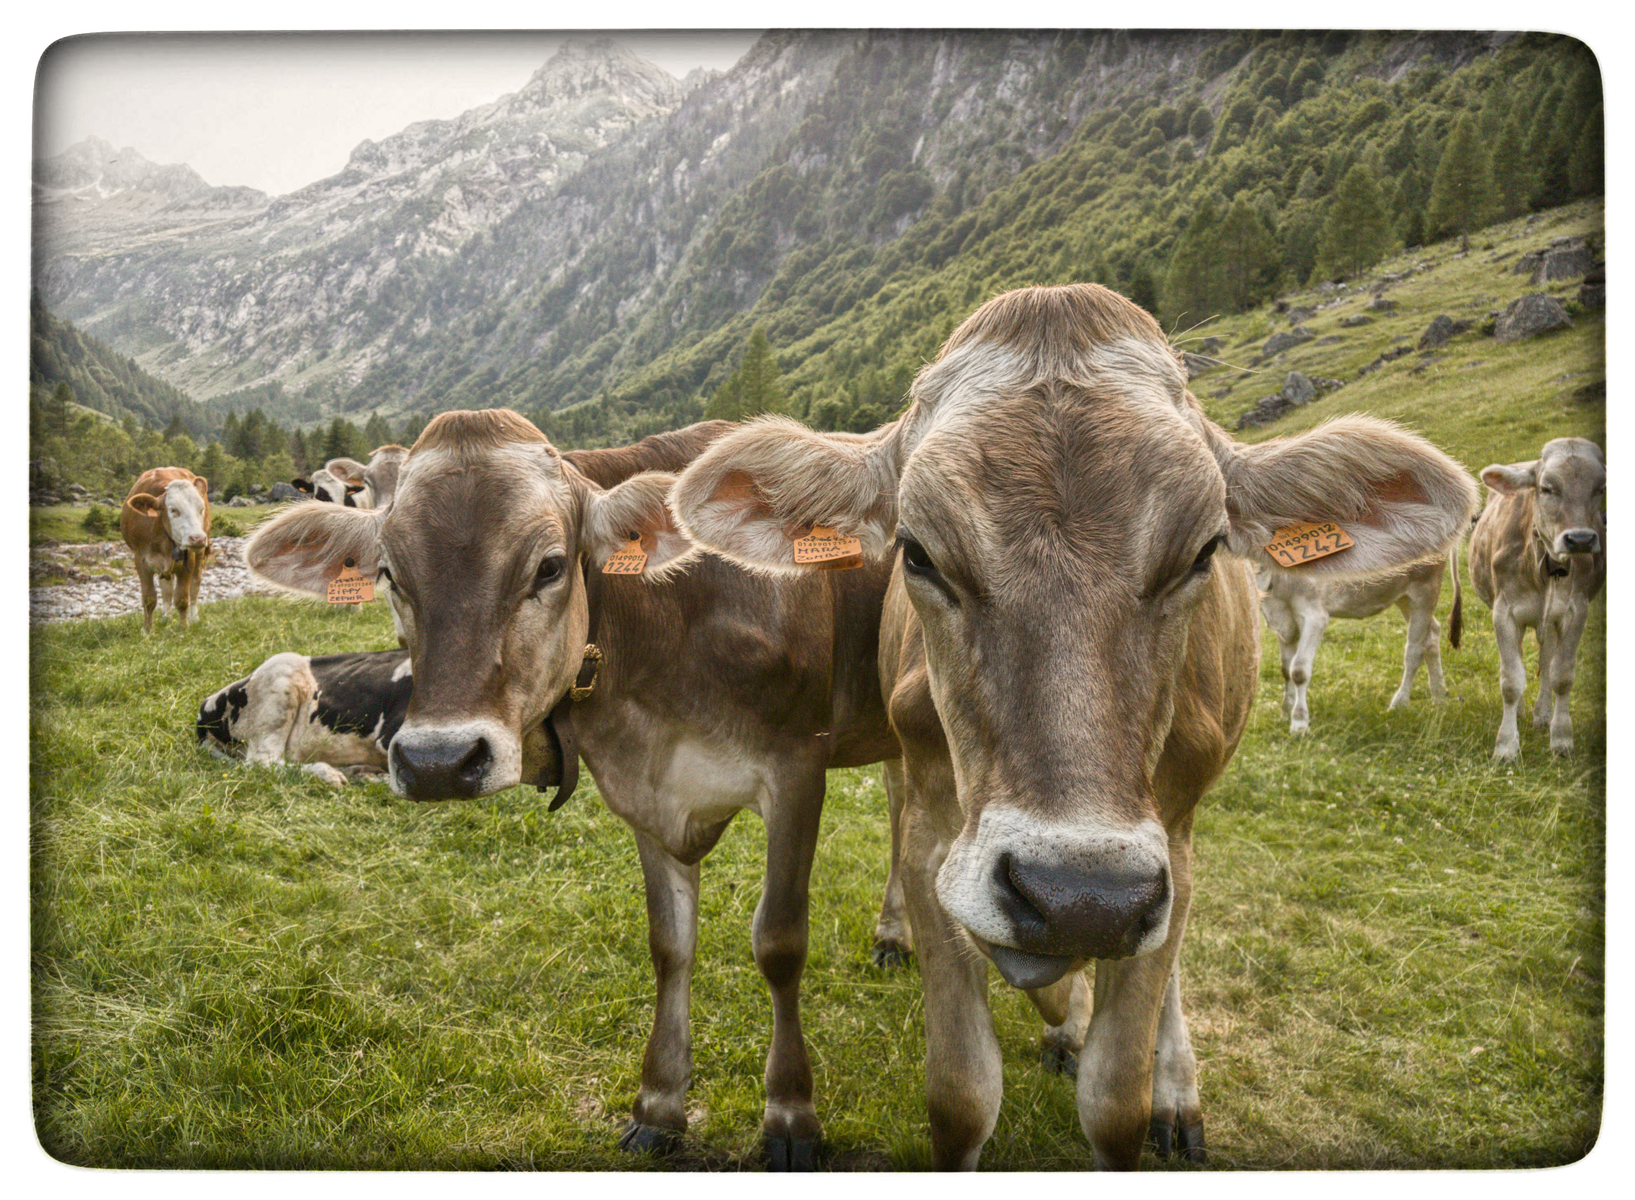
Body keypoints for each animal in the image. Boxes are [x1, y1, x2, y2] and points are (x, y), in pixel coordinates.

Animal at [119, 466, 213, 634]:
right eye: (173, 510)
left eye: (201, 509)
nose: (197, 538)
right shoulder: (141, 561)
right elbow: (149, 598)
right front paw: (147, 630)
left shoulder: (188, 560)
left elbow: (182, 598)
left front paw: (183, 628)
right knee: (166, 588)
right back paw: (166, 617)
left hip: (199, 554)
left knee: (195, 585)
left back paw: (193, 617)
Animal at [243, 414, 909, 1170]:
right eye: (389, 573)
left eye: (549, 567)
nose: (439, 762)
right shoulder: (640, 787)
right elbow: (668, 944)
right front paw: (658, 1106)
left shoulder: (797, 771)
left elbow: (779, 943)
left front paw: (791, 1116)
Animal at [1256, 548, 1461, 735]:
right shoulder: (1282, 619)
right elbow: (1286, 670)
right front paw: (1285, 712)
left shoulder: (1314, 615)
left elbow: (1298, 671)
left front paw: (1299, 723)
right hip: (1403, 596)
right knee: (1432, 634)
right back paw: (1439, 696)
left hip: (1424, 589)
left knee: (1414, 650)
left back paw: (1399, 703)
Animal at [1469, 437, 1605, 760]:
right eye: (1546, 488)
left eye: (1601, 488)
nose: (1580, 539)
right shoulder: (1503, 612)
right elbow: (1511, 680)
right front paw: (1506, 745)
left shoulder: (1575, 610)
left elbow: (1562, 675)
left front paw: (1562, 738)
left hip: (1551, 621)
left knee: (1546, 662)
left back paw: (1543, 715)